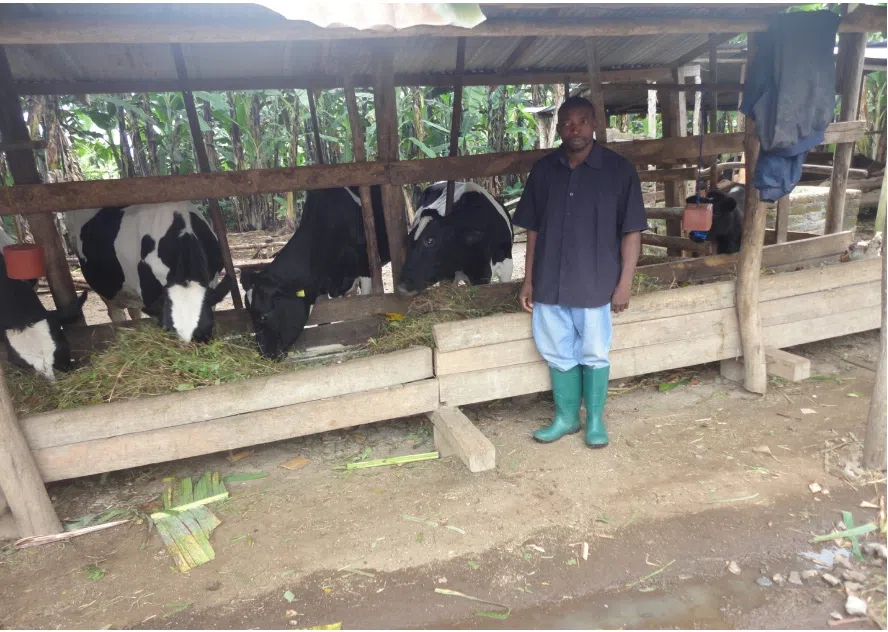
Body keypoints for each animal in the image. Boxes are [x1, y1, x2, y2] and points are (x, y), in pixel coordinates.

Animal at [66, 202, 232, 344]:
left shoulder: (212, 281)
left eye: (207, 330)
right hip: (106, 288)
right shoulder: (148, 291)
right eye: (168, 331)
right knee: (115, 312)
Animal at [241, 185, 390, 358]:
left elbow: (366, 303)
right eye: (250, 315)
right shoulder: (325, 284)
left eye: (264, 315)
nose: (265, 354)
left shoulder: (364, 270)